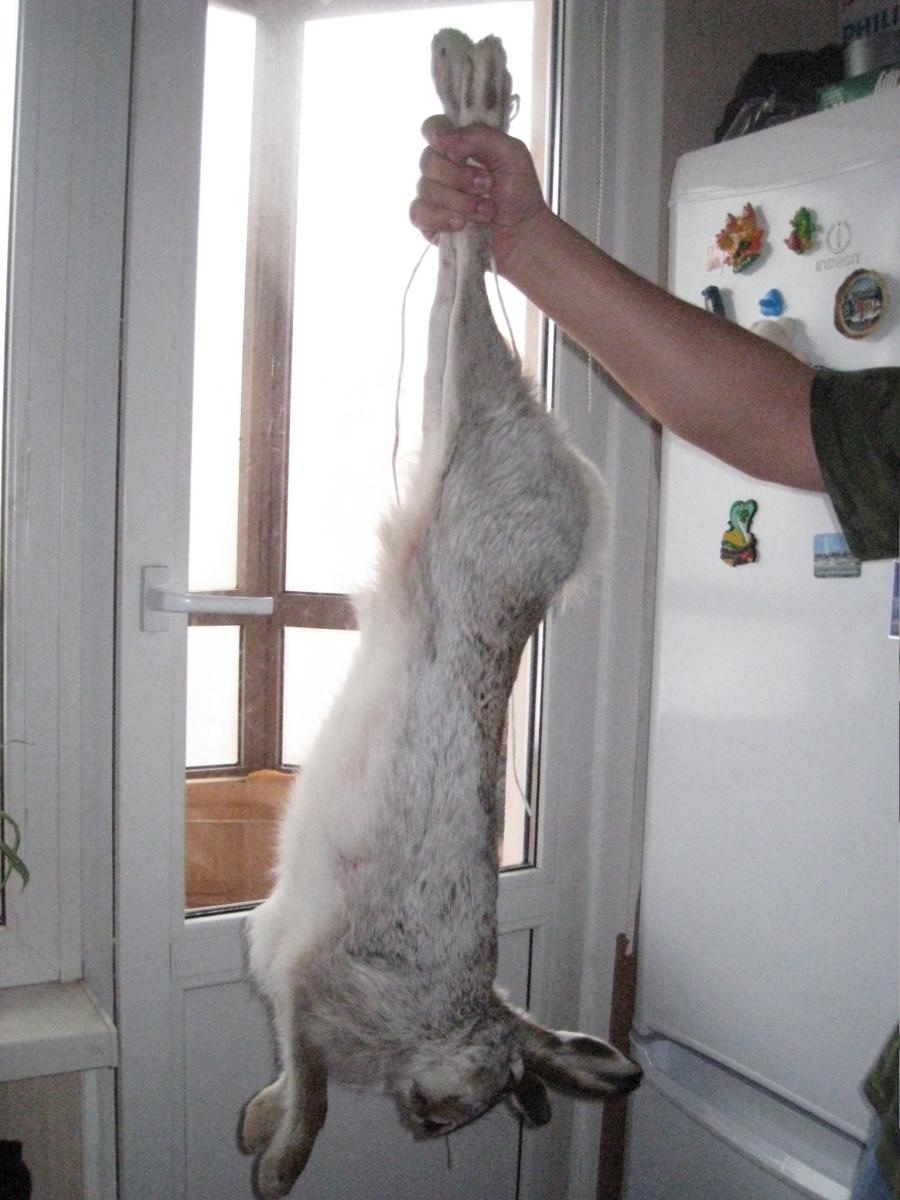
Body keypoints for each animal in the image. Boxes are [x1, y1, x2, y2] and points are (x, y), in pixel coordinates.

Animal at [239, 29, 641, 1200]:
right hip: (470, 425)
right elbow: (315, 1093)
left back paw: (470, 85)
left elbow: (296, 1082)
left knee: (461, 283)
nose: (428, 1121)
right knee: (469, 280)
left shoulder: (293, 989)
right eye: (483, 1095)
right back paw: (477, 99)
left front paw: (256, 1133)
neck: (449, 1018)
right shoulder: (310, 994)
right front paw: (278, 1165)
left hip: (444, 422)